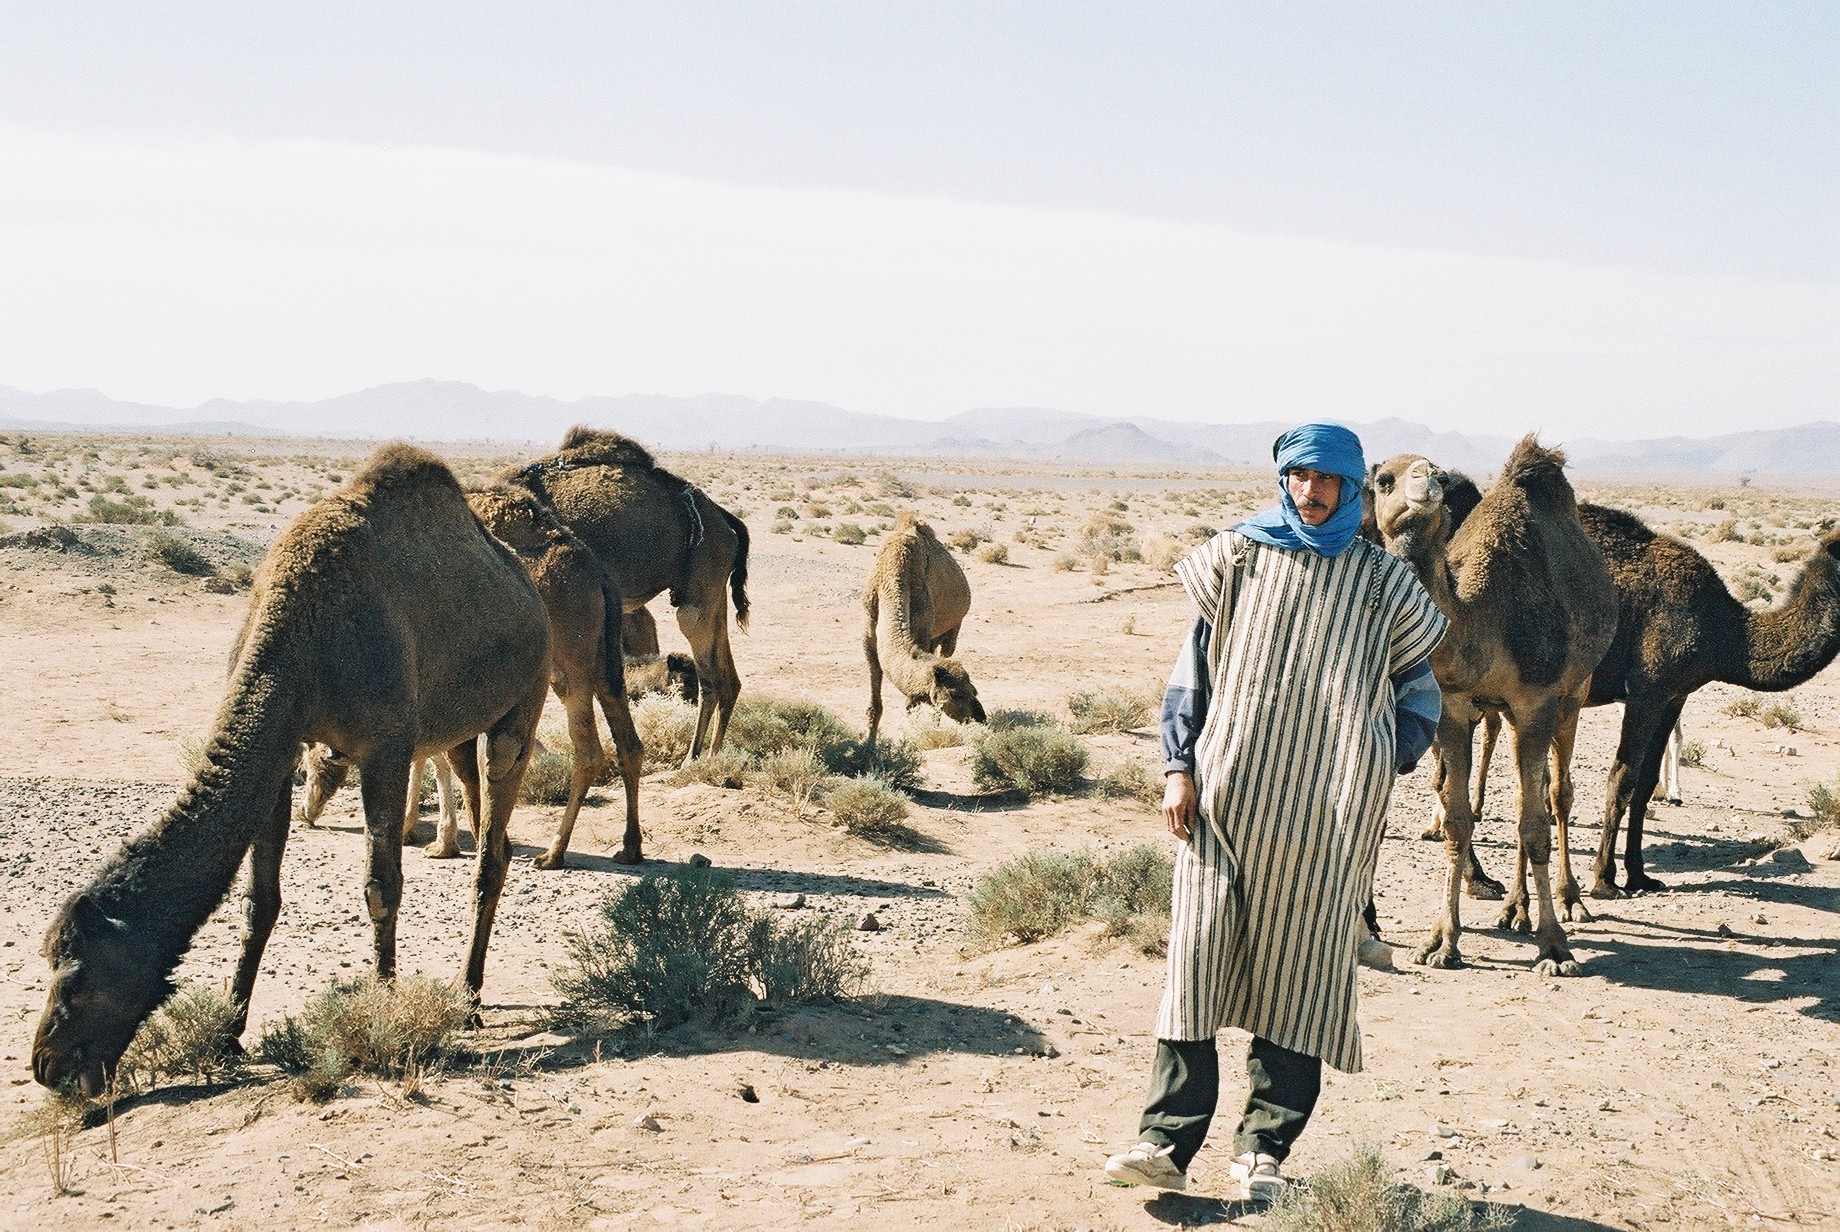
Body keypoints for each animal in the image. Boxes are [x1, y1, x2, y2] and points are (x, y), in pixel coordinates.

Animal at [34, 446, 552, 1103]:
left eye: (79, 982)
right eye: (49, 962)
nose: (46, 1067)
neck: (301, 639)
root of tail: (526, 586)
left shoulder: (384, 750)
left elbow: (381, 886)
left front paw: (384, 1010)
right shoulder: (284, 751)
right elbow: (259, 899)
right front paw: (229, 1034)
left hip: (525, 698)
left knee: (494, 835)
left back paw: (468, 997)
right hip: (460, 726)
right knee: (485, 817)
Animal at [507, 430, 743, 768]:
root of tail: (724, 518)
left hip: (701, 576)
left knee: (709, 675)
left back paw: (694, 759)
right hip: (714, 587)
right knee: (730, 678)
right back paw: (714, 753)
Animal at [864, 514, 986, 746]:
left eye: (974, 690)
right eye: (955, 694)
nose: (980, 717)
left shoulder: (923, 631)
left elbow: (911, 705)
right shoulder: (869, 633)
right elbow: (875, 700)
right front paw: (868, 745)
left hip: (952, 629)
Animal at [1368, 439, 1611, 978]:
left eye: (1438, 473)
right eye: (1383, 480)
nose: (1427, 480)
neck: (1481, 619)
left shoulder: (1536, 702)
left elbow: (1536, 824)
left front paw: (1555, 948)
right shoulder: (1454, 711)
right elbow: (1458, 824)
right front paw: (1440, 942)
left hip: (1572, 695)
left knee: (1555, 795)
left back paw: (1568, 900)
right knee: (1528, 795)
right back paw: (1514, 909)